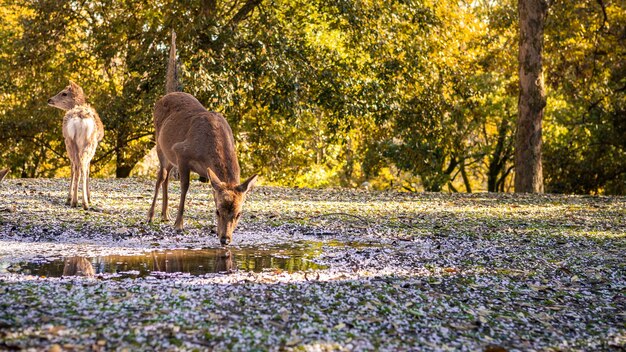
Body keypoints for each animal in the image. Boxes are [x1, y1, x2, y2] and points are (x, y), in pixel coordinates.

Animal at [146, 31, 256, 245]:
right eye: (217, 211)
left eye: (239, 214)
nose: (225, 239)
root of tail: (163, 96)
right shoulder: (181, 152)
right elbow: (185, 187)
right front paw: (179, 224)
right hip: (159, 145)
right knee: (160, 176)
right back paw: (151, 215)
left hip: (168, 153)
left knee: (166, 177)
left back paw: (165, 214)